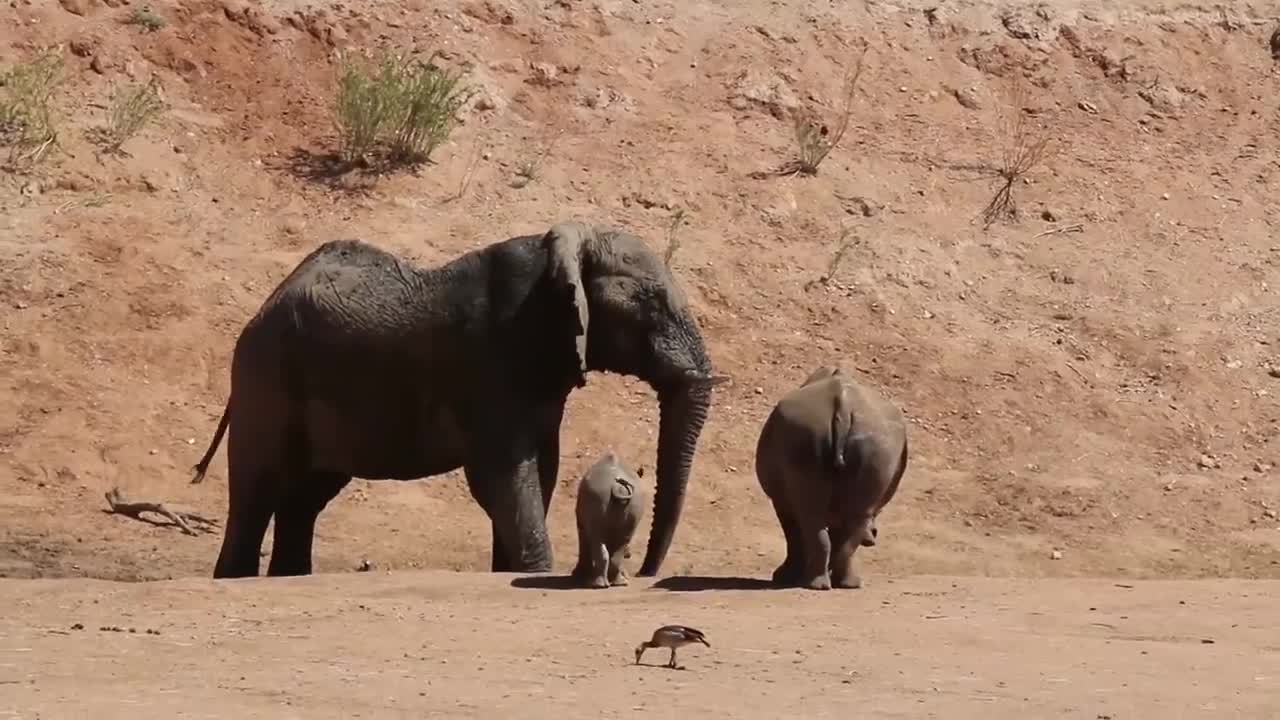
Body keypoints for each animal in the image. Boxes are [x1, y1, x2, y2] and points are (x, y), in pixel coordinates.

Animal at [573, 450, 645, 586]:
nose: (629, 554)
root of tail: (617, 486)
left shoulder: (582, 522)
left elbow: (584, 541)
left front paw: (577, 575)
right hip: (628, 500)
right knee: (622, 539)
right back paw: (618, 583)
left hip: (600, 495)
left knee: (598, 538)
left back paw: (598, 585)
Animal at [752, 363, 906, 589]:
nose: (875, 535)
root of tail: (843, 404)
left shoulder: (781, 500)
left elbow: (793, 535)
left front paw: (784, 577)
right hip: (868, 439)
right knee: (851, 518)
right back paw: (840, 584)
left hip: (812, 433)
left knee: (817, 518)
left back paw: (819, 584)